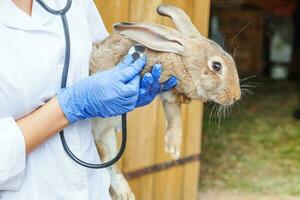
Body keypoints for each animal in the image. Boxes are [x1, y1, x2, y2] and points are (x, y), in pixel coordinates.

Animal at [90, 3, 240, 200]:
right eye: (217, 66)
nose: (236, 96)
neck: (180, 59)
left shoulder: (167, 90)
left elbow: (173, 113)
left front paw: (174, 148)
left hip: (108, 134)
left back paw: (125, 193)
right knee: (104, 155)